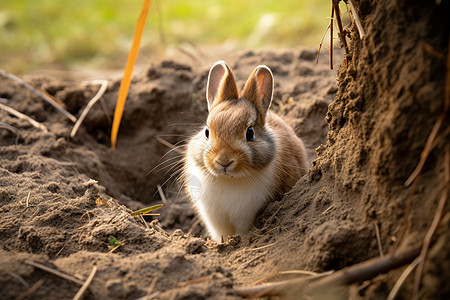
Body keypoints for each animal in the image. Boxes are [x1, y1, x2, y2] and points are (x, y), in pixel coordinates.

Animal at [181, 60, 308, 241]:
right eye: (206, 132)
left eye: (250, 133)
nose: (223, 161)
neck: (229, 179)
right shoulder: (215, 219)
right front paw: (223, 243)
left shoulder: (246, 216)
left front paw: (238, 242)